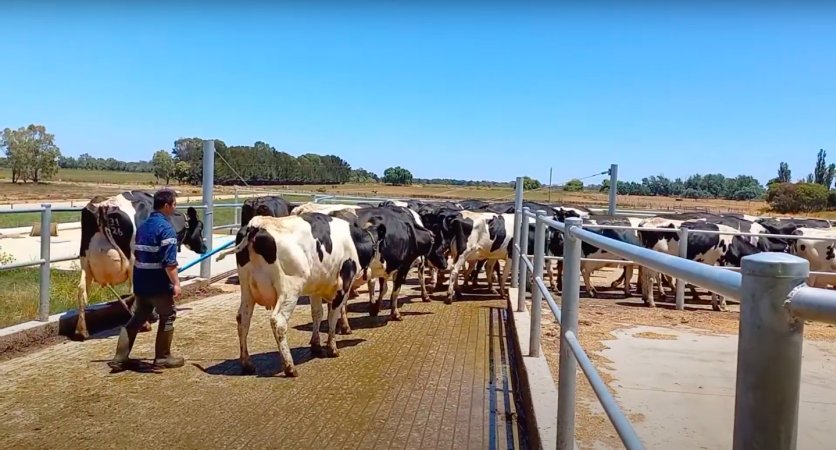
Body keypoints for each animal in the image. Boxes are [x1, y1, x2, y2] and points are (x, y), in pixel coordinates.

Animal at [217, 213, 384, 378]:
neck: (354, 242)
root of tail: (257, 224)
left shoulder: (316, 287)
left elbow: (317, 313)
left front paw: (316, 346)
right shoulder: (343, 286)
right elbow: (332, 316)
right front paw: (332, 348)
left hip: (247, 291)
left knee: (242, 320)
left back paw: (247, 364)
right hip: (289, 291)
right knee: (278, 321)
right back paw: (290, 367)